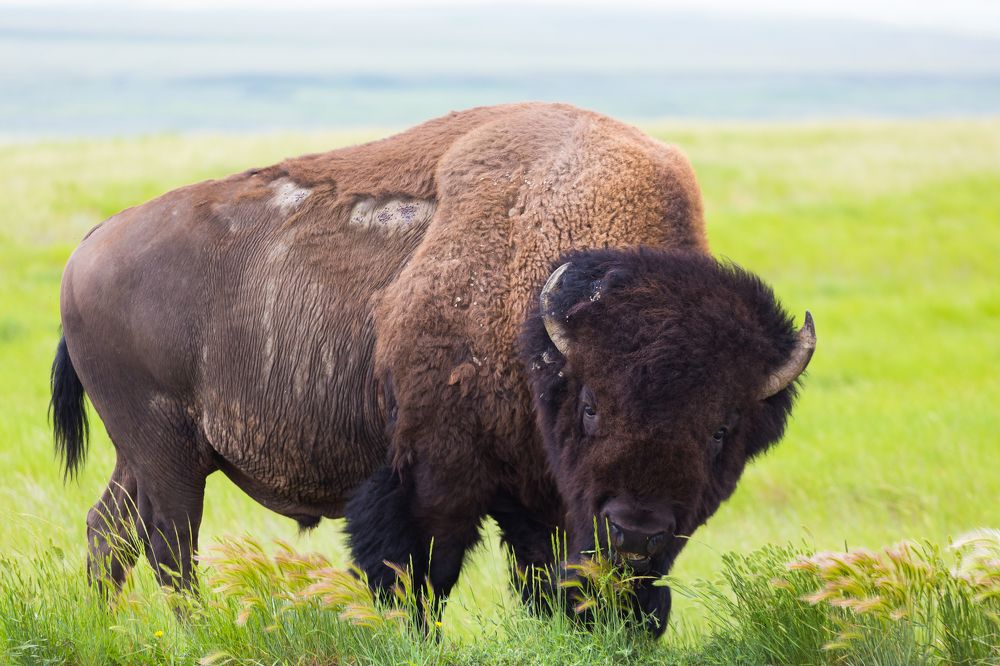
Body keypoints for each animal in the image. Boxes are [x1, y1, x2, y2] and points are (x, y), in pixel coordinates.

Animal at [51, 102, 813, 635]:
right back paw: (195, 632)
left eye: (722, 430)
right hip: (165, 451)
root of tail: (89, 246)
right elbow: (419, 577)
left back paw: (103, 627)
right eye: (591, 404)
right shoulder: (432, 479)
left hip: (148, 454)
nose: (637, 529)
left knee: (109, 531)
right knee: (170, 547)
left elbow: (546, 579)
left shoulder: (544, 501)